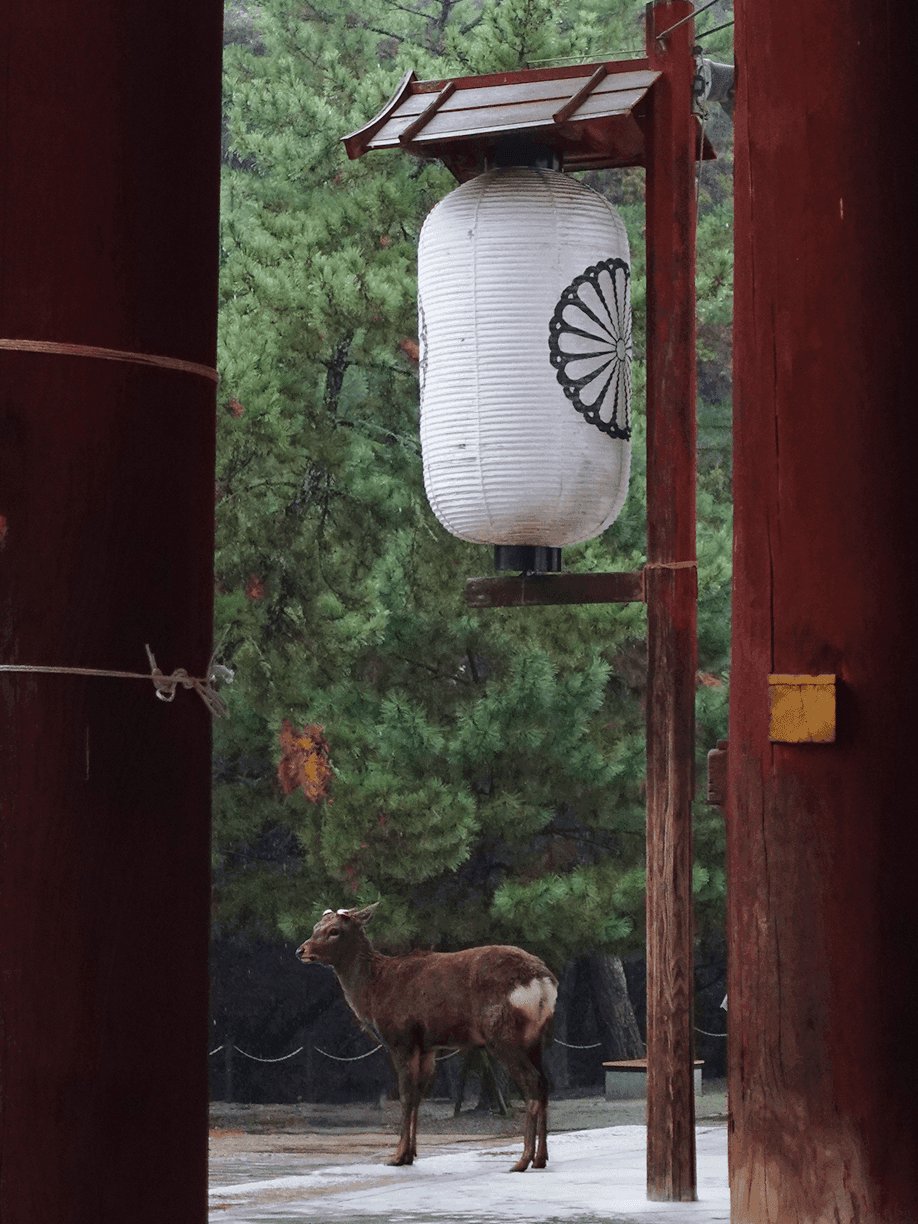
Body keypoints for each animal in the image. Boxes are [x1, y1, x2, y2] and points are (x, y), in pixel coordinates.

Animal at [296, 902, 557, 1171]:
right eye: (316, 926)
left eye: (334, 931)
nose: (300, 950)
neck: (373, 994)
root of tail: (542, 980)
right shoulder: (427, 1046)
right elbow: (418, 1096)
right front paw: (411, 1154)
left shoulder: (401, 1038)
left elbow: (406, 1095)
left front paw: (398, 1156)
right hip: (536, 1036)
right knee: (545, 1083)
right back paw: (541, 1158)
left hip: (502, 1034)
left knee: (532, 1082)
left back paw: (523, 1159)